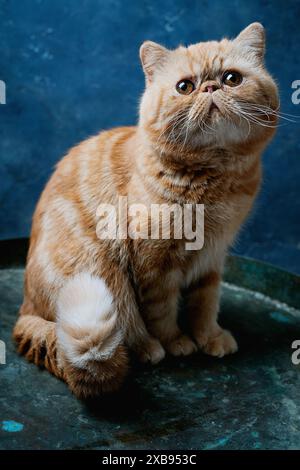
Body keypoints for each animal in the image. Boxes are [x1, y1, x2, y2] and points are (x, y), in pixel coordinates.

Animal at [12, 22, 278, 396]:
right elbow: (161, 311)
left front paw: (209, 337)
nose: (210, 87)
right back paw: (149, 348)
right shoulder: (154, 261)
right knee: (126, 327)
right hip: (104, 275)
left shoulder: (213, 255)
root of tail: (25, 310)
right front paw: (177, 342)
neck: (214, 178)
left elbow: (205, 302)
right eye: (185, 87)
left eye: (232, 78)